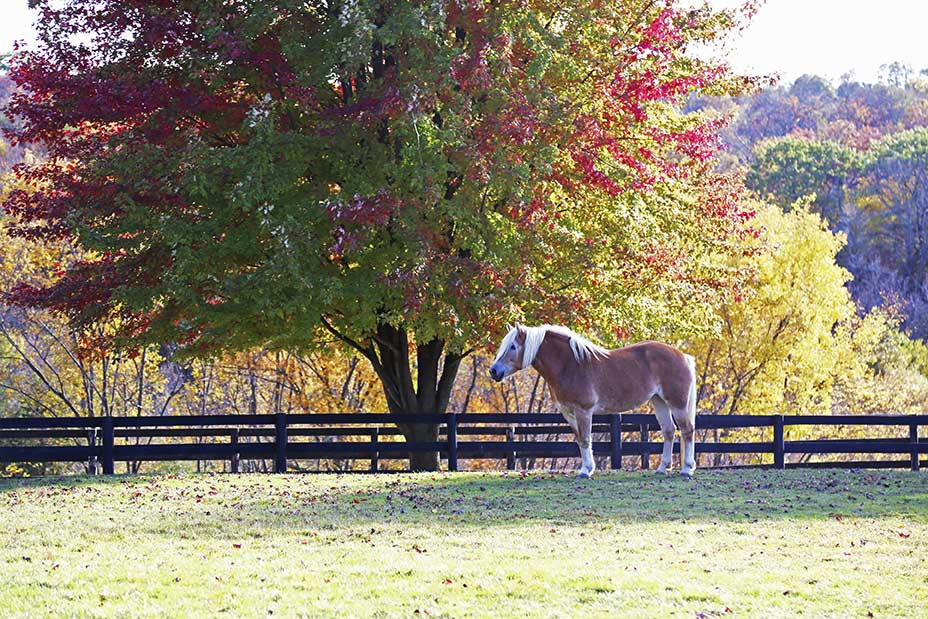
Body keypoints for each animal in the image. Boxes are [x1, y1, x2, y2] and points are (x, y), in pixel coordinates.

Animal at [492, 324, 696, 480]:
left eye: (512, 346)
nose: (493, 371)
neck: (570, 365)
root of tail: (682, 355)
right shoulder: (568, 413)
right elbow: (579, 440)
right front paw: (587, 469)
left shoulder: (584, 411)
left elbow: (585, 438)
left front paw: (586, 471)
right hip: (659, 401)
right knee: (669, 431)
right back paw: (662, 468)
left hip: (677, 403)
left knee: (687, 430)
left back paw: (686, 470)